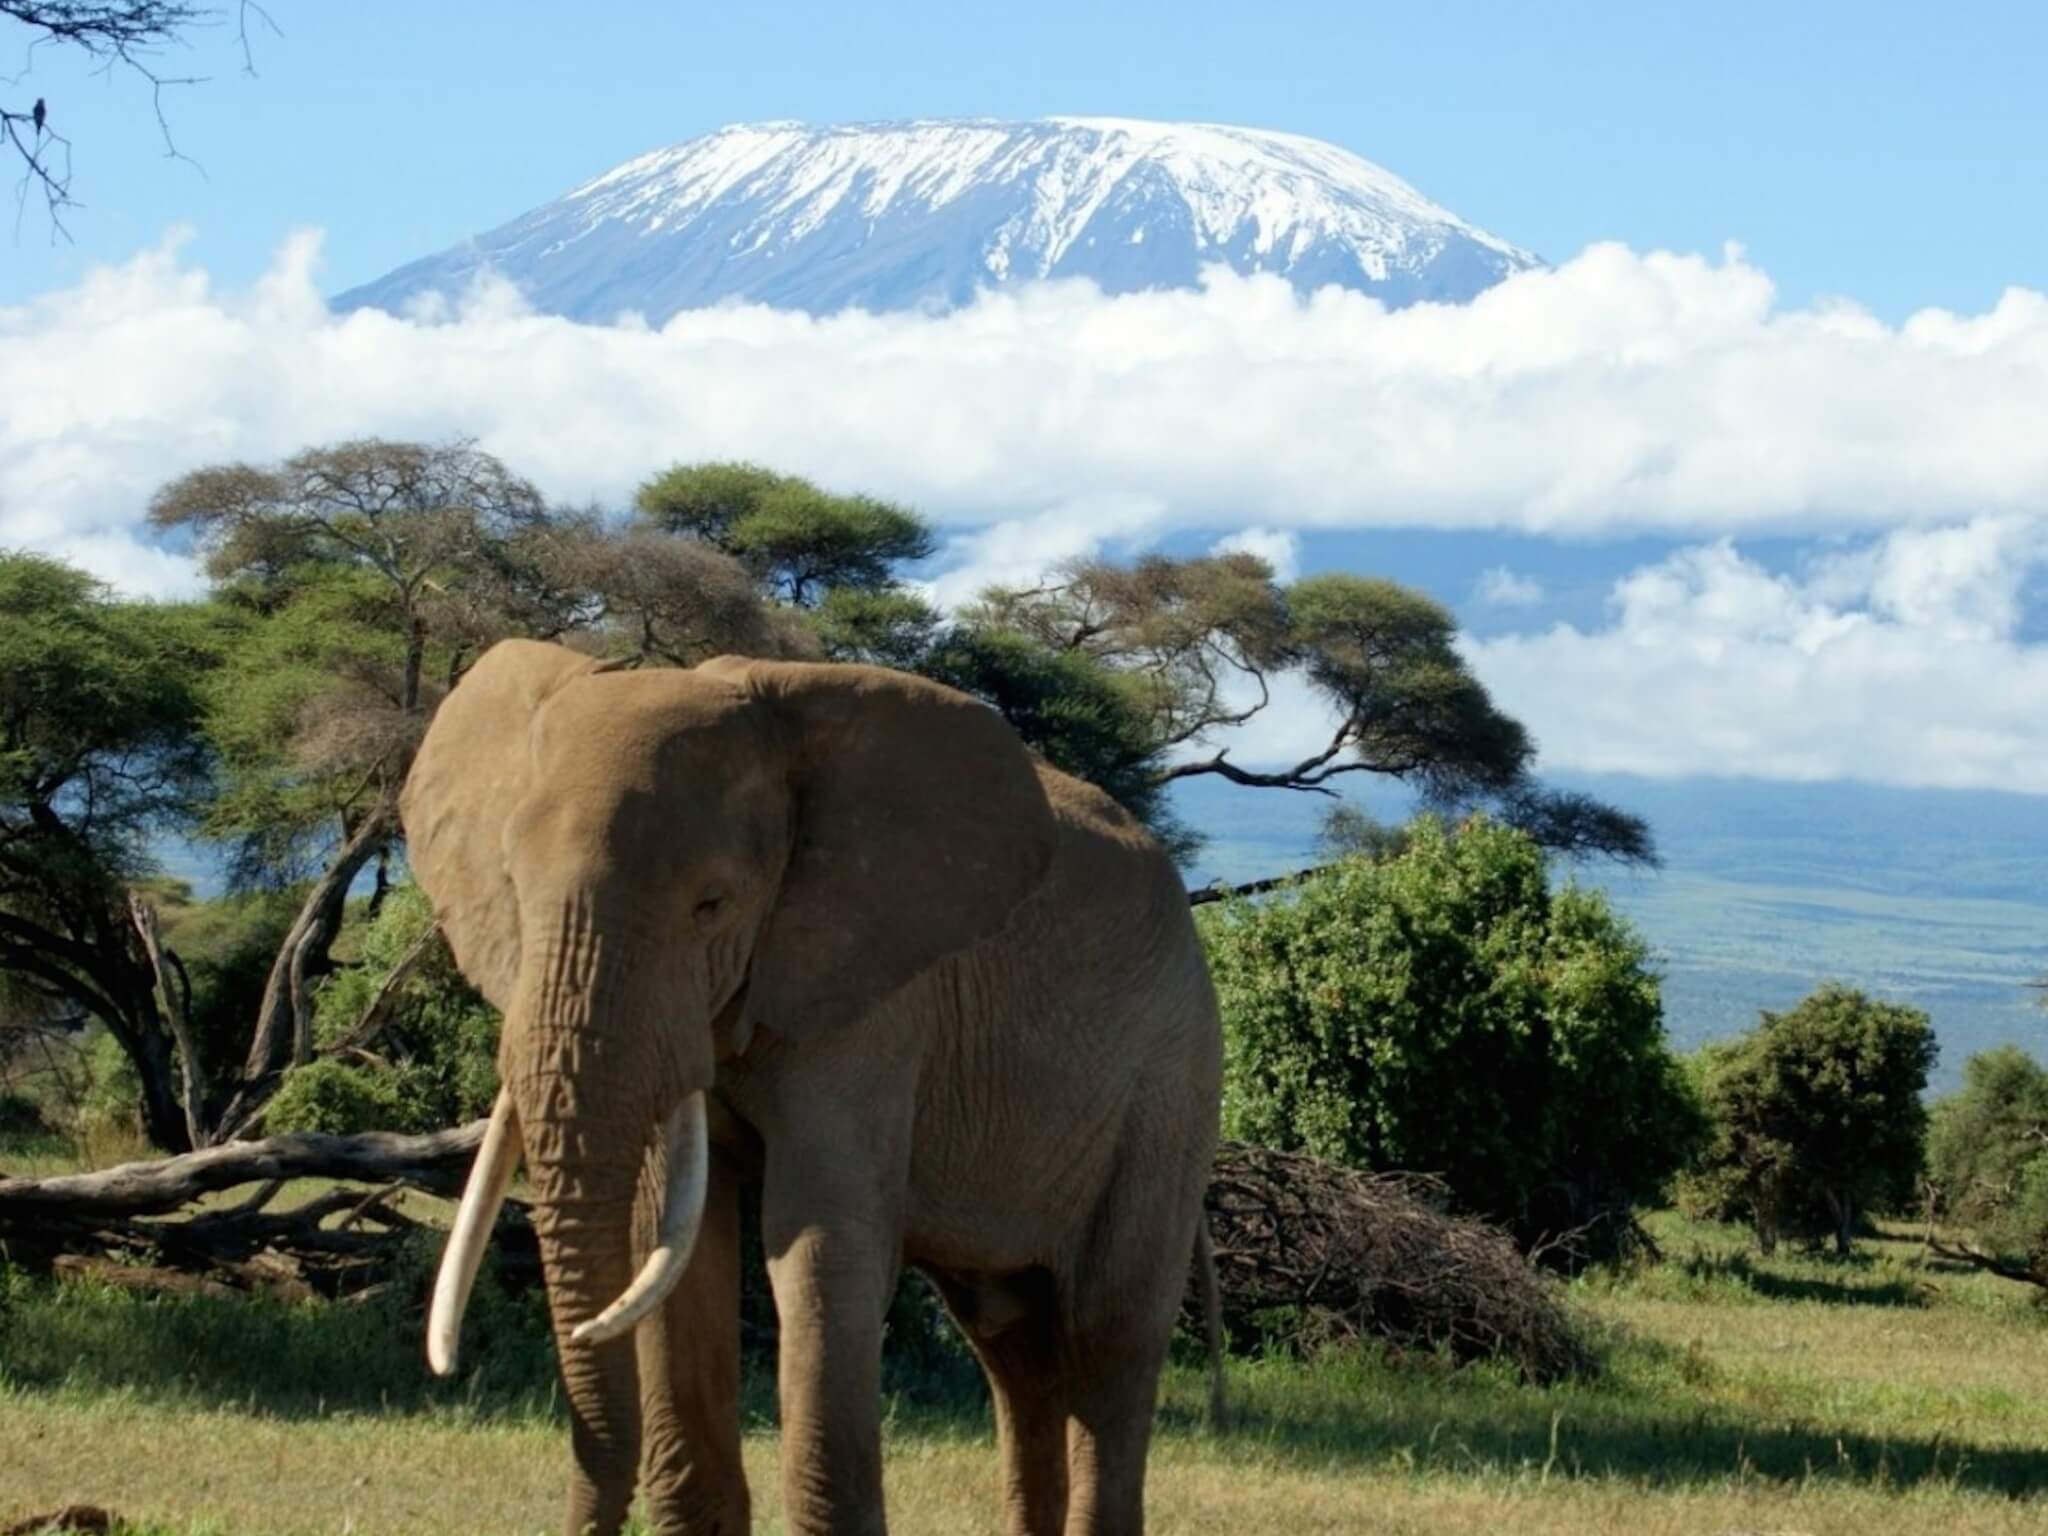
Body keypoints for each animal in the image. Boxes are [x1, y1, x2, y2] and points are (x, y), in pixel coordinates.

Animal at [407, 638, 1220, 1536]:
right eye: (513, 891)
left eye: (712, 904)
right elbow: (673, 1241)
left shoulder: (877, 1001)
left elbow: (817, 1241)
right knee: (1014, 1346)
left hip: (1171, 1086)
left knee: (1110, 1335)